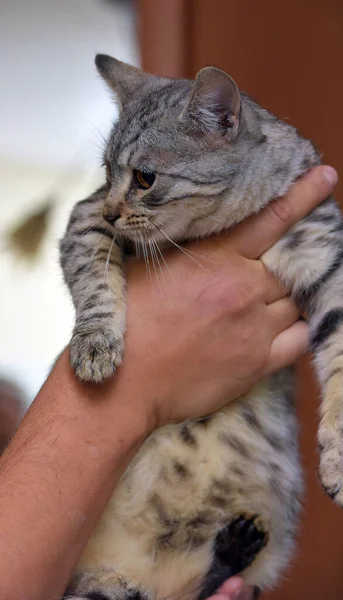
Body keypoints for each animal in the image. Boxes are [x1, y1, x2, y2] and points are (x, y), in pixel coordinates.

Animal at [59, 54, 343, 596]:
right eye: (107, 172)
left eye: (145, 177)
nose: (113, 208)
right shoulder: (86, 218)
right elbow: (94, 277)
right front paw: (95, 344)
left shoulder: (329, 263)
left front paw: (338, 456)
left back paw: (233, 548)